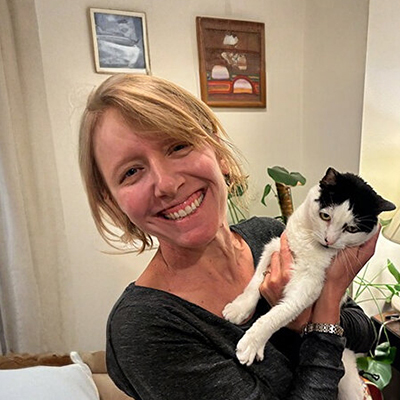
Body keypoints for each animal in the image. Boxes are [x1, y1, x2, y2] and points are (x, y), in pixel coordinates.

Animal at [223, 166, 396, 400]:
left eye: (351, 229)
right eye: (325, 216)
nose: (329, 240)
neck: (311, 245)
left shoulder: (309, 286)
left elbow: (278, 314)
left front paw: (252, 343)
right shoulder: (275, 247)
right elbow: (255, 282)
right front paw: (239, 308)